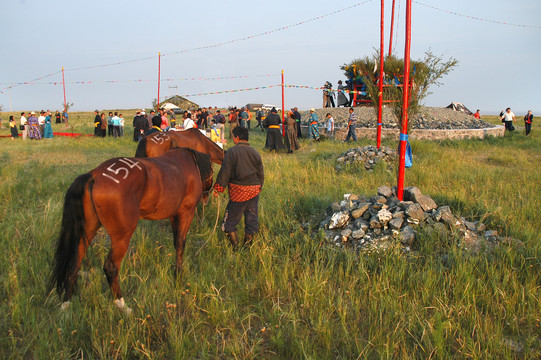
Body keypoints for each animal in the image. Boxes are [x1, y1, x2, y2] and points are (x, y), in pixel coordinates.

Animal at [49, 147, 212, 312]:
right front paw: (178, 276)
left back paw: (66, 304)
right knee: (111, 267)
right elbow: (180, 244)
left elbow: (176, 242)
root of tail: (94, 175)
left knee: (74, 263)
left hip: (87, 229)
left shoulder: (174, 215)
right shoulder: (186, 212)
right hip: (121, 237)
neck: (190, 162)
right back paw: (123, 306)